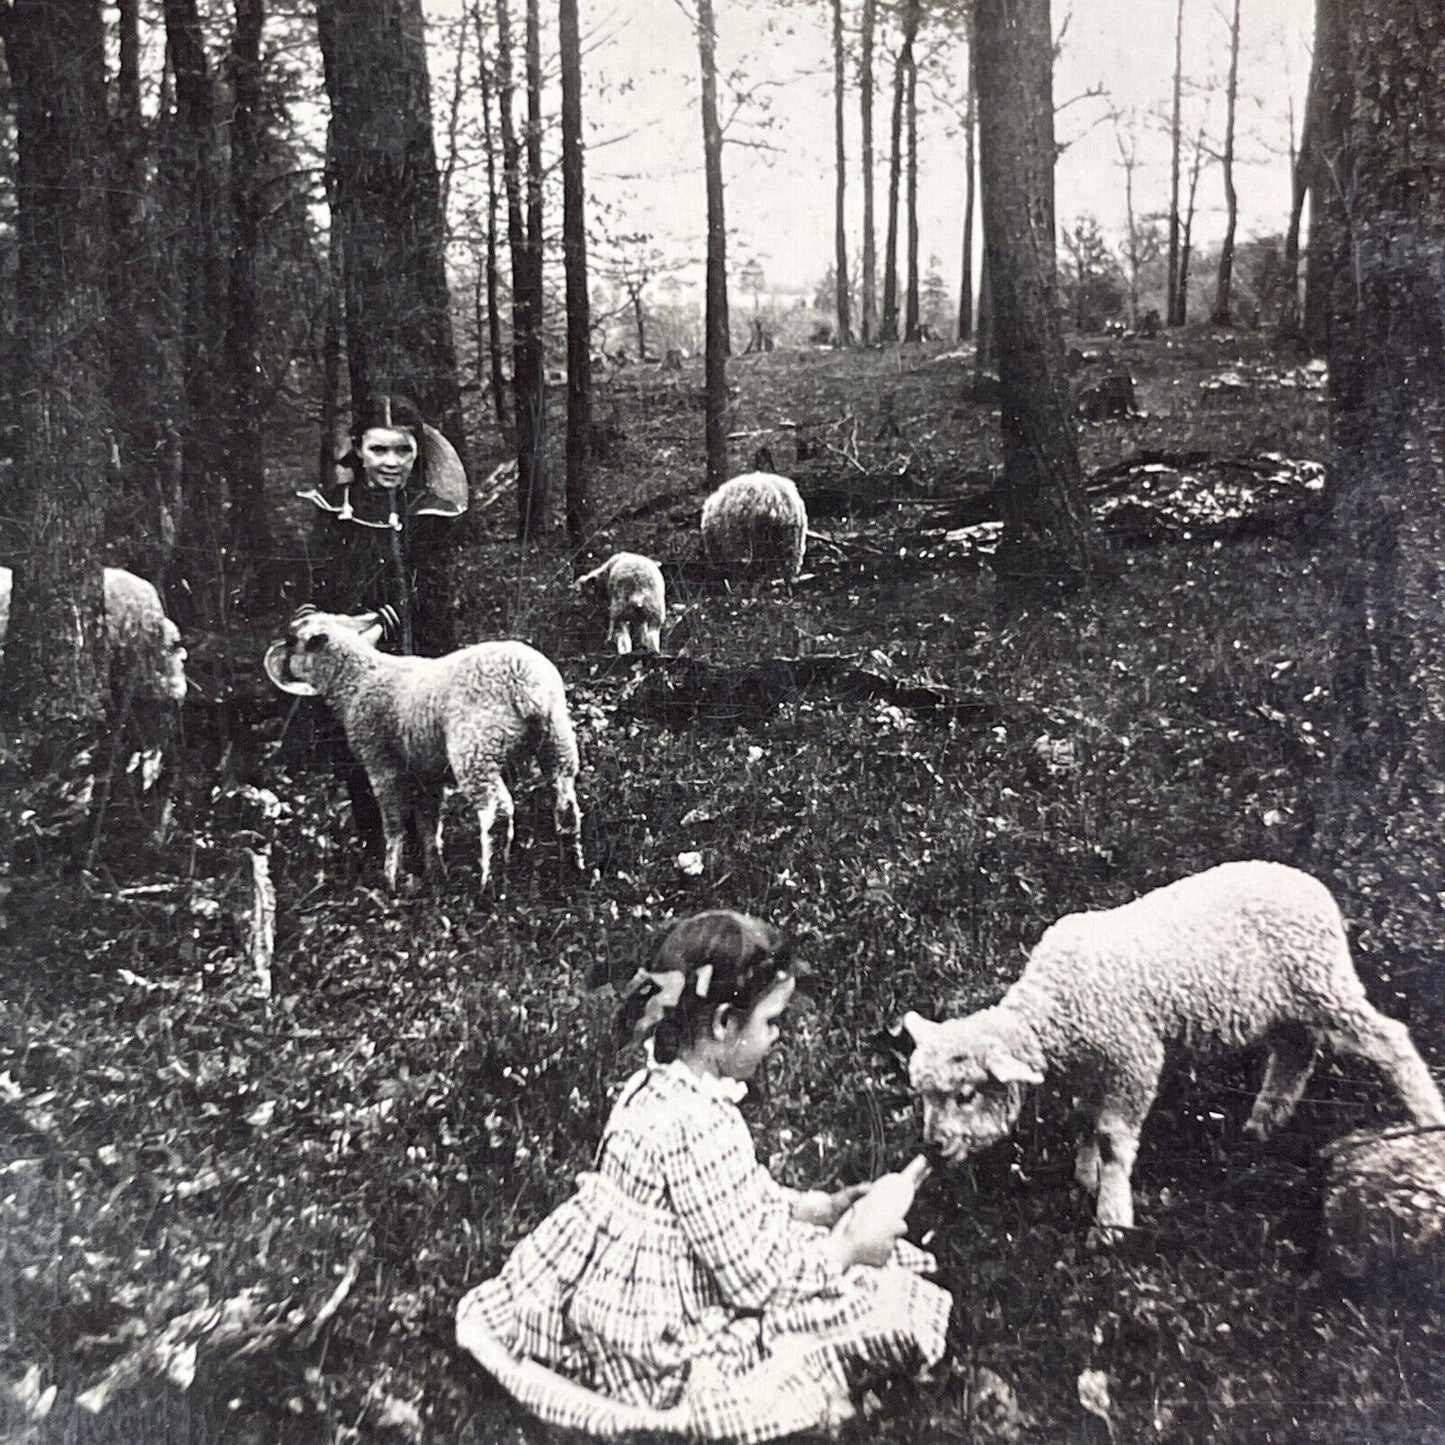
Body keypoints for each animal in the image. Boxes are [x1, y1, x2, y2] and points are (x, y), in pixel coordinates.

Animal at [265, 609, 586, 890]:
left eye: (293, 640)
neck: (359, 679)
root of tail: (525, 685)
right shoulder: (426, 772)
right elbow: (428, 823)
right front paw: (435, 875)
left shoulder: (380, 763)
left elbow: (394, 823)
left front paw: (391, 879)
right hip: (556, 738)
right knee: (566, 802)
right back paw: (573, 870)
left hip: (476, 751)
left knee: (497, 813)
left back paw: (491, 884)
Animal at [901, 861, 1445, 1236]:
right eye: (923, 1096)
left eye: (966, 1094)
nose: (930, 1147)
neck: (1054, 1009)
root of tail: (1311, 885)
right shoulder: (1091, 1070)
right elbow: (1083, 1120)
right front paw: (1085, 1179)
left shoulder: (1133, 1059)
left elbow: (1112, 1138)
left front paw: (1111, 1218)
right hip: (1283, 1003)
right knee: (1296, 1052)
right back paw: (1261, 1124)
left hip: (1323, 979)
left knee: (1387, 1037)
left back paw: (1426, 1114)